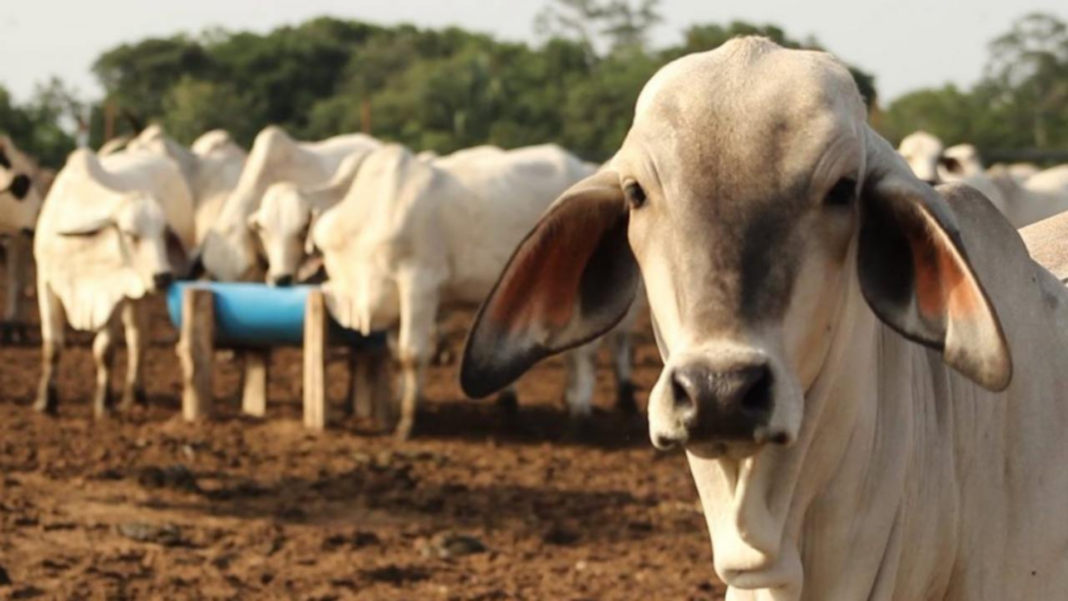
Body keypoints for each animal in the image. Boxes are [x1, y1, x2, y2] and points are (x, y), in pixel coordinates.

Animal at [32, 148, 196, 416]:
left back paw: (135, 395)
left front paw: (104, 403)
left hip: (136, 294)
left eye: (164, 233)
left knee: (138, 340)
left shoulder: (114, 295)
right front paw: (45, 401)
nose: (163, 276)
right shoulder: (45, 283)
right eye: (130, 234)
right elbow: (52, 347)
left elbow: (105, 350)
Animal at [311, 143, 636, 439]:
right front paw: (406, 403)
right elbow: (396, 355)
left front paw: (408, 422)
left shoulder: (419, 283)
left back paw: (578, 416)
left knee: (585, 353)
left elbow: (410, 354)